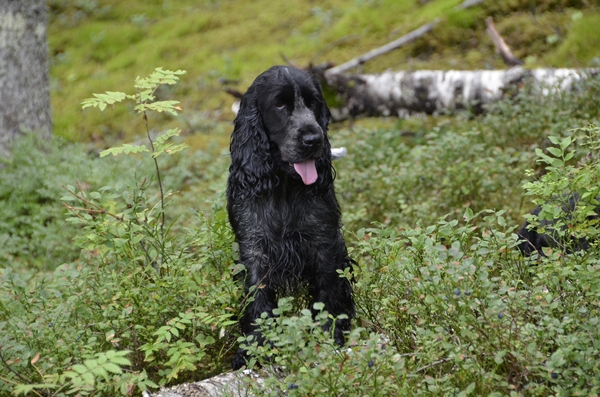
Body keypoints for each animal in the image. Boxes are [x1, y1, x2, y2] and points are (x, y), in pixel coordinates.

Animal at [227, 65, 354, 368]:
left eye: (313, 102)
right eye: (280, 105)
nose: (313, 139)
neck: (284, 185)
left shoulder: (324, 242)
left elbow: (327, 292)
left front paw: (329, 337)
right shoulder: (254, 249)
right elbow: (258, 300)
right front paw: (253, 349)